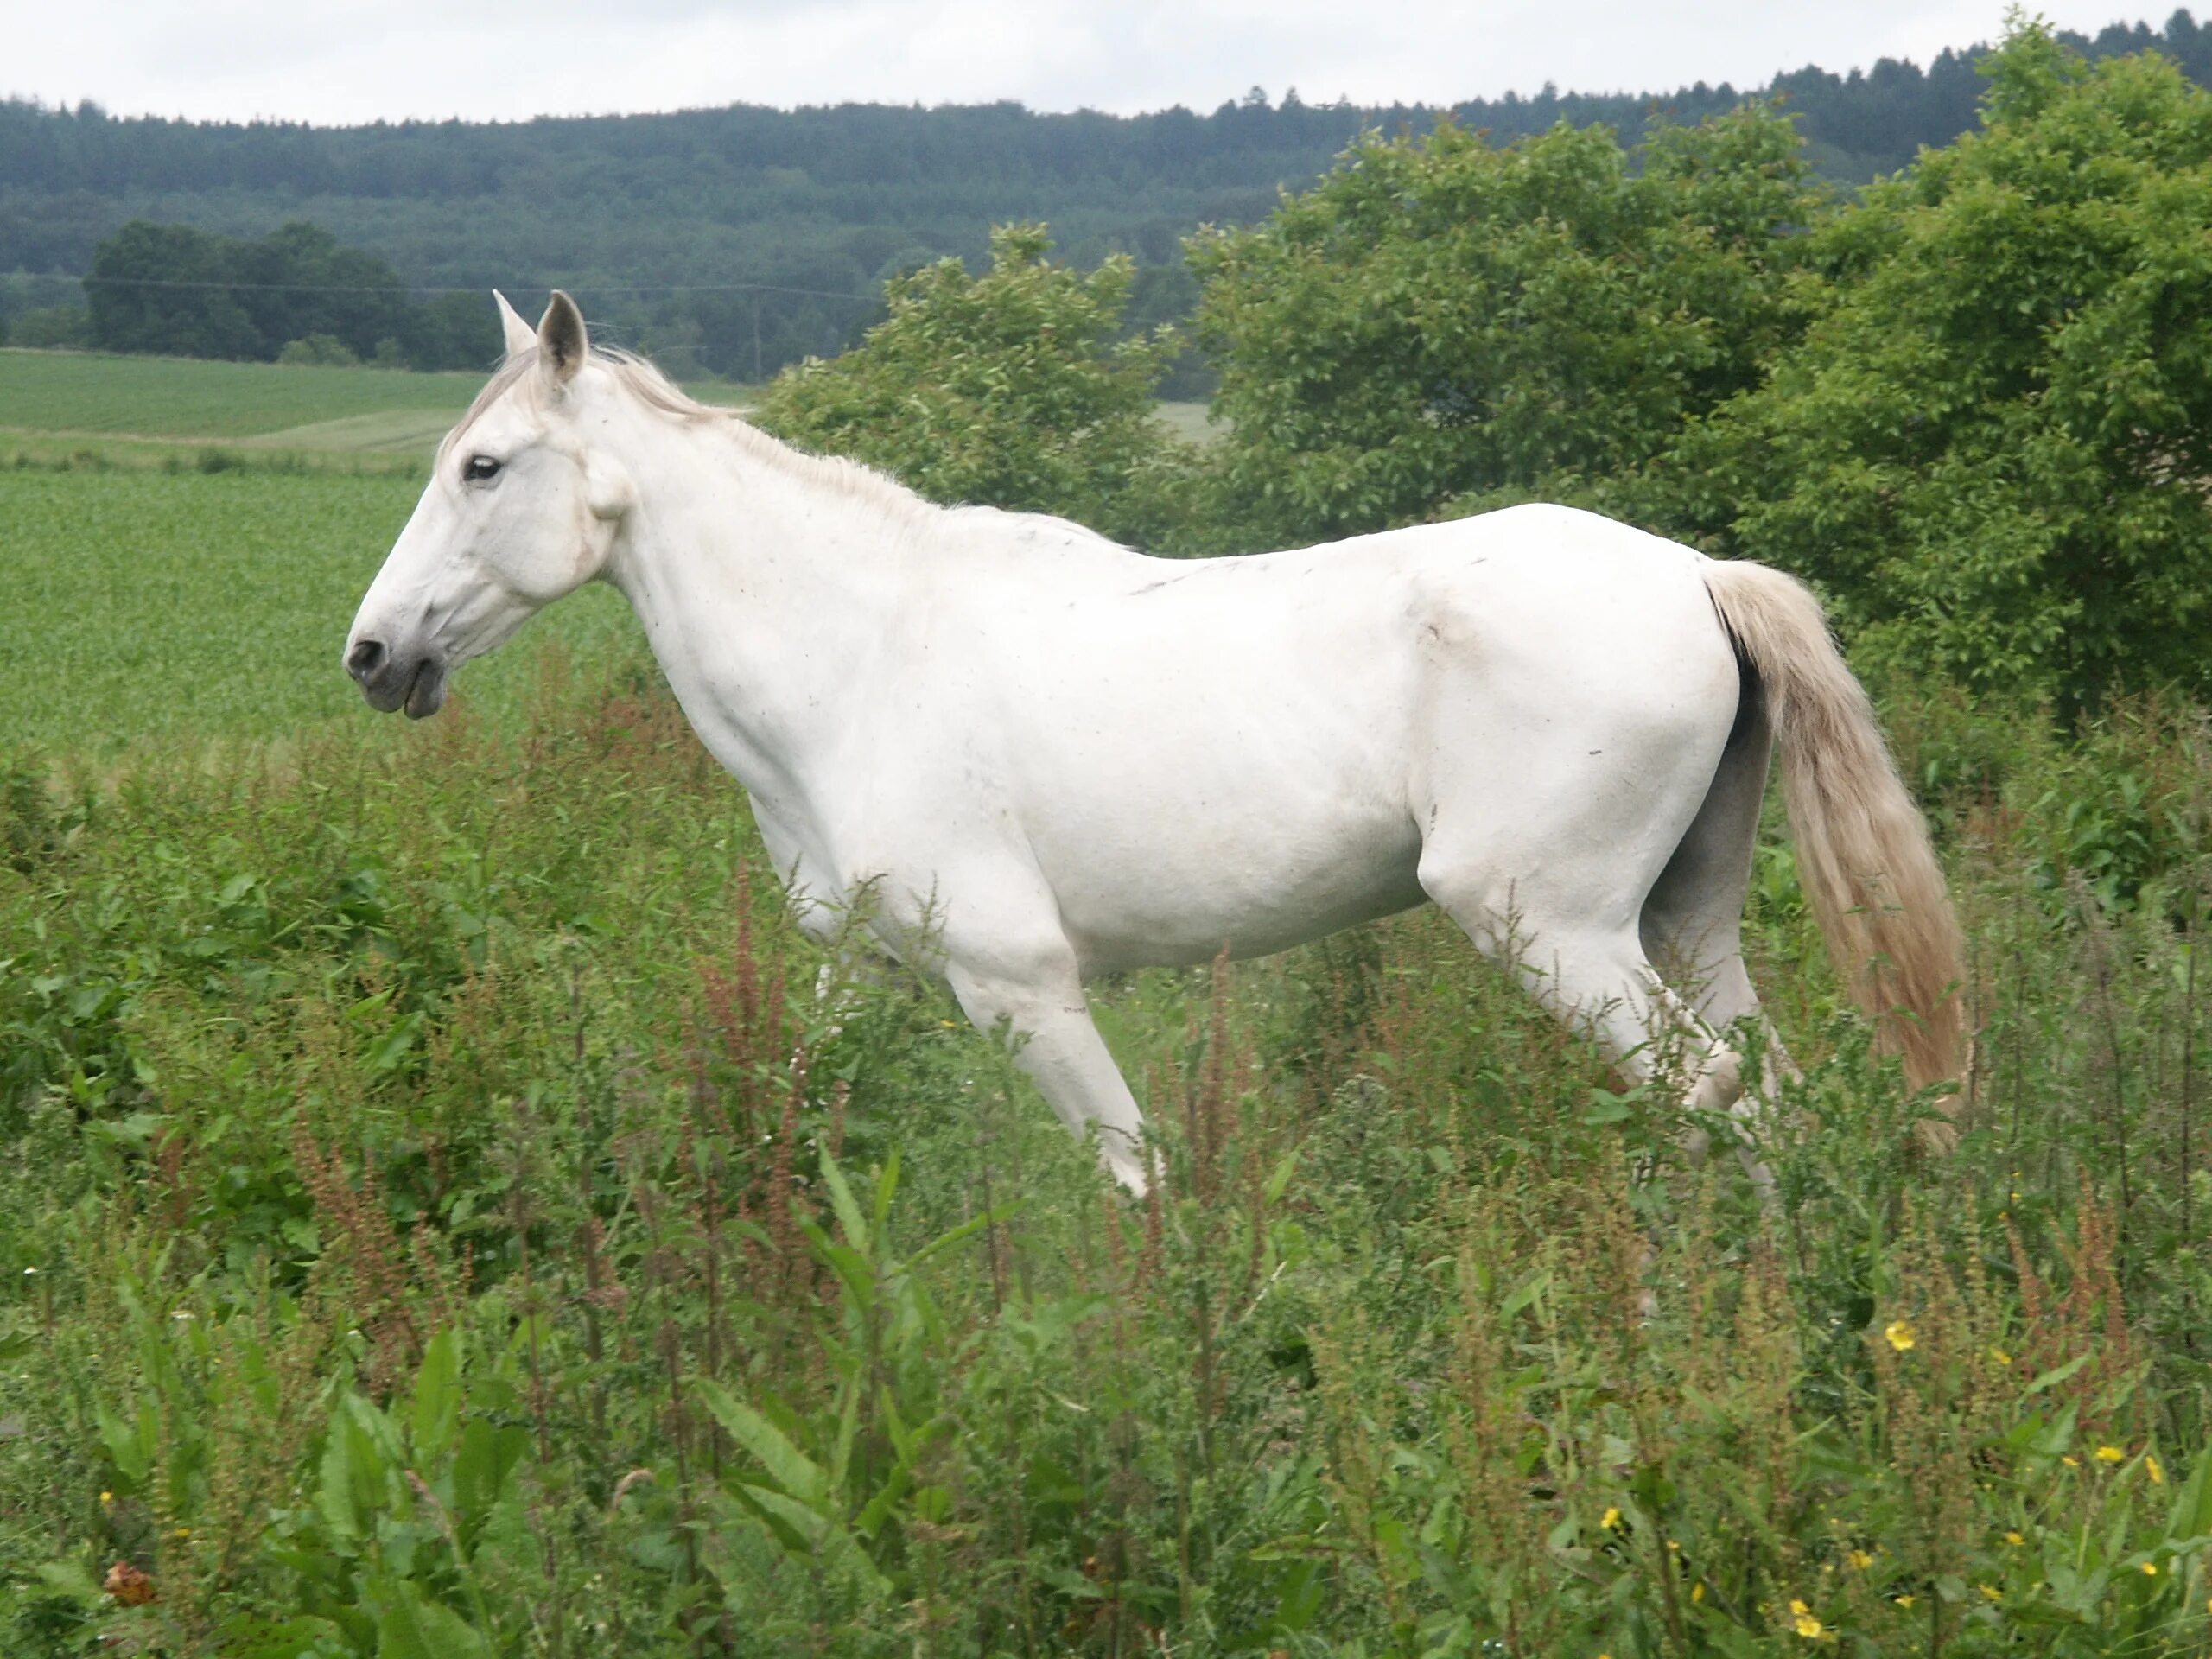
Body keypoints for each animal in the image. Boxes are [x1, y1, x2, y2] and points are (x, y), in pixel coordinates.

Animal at [336, 289, 1964, 1194]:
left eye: (485, 467)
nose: (373, 654)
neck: (858, 662)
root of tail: (1696, 575)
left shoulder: (1023, 988)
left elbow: (1135, 1181)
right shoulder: (863, 967)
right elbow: (796, 1111)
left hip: (1553, 930)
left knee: (1715, 1102)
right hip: (1684, 922)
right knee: (1774, 1097)